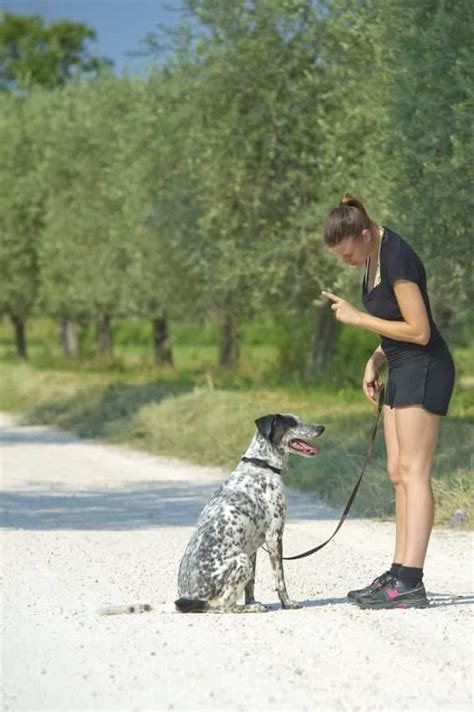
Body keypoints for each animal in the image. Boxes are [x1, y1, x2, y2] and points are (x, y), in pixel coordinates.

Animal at [175, 414, 326, 616]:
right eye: (292, 423)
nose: (321, 428)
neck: (261, 465)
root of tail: (191, 598)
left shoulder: (253, 547)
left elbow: (251, 585)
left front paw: (252, 601)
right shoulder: (274, 536)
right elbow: (280, 579)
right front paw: (287, 604)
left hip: (245, 558)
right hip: (242, 561)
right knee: (223, 607)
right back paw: (250, 608)